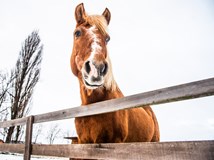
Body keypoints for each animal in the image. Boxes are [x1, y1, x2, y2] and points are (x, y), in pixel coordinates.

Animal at [69, 2, 160, 146]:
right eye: (77, 33)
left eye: (107, 39)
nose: (97, 67)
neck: (94, 106)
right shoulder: (83, 143)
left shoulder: (113, 142)